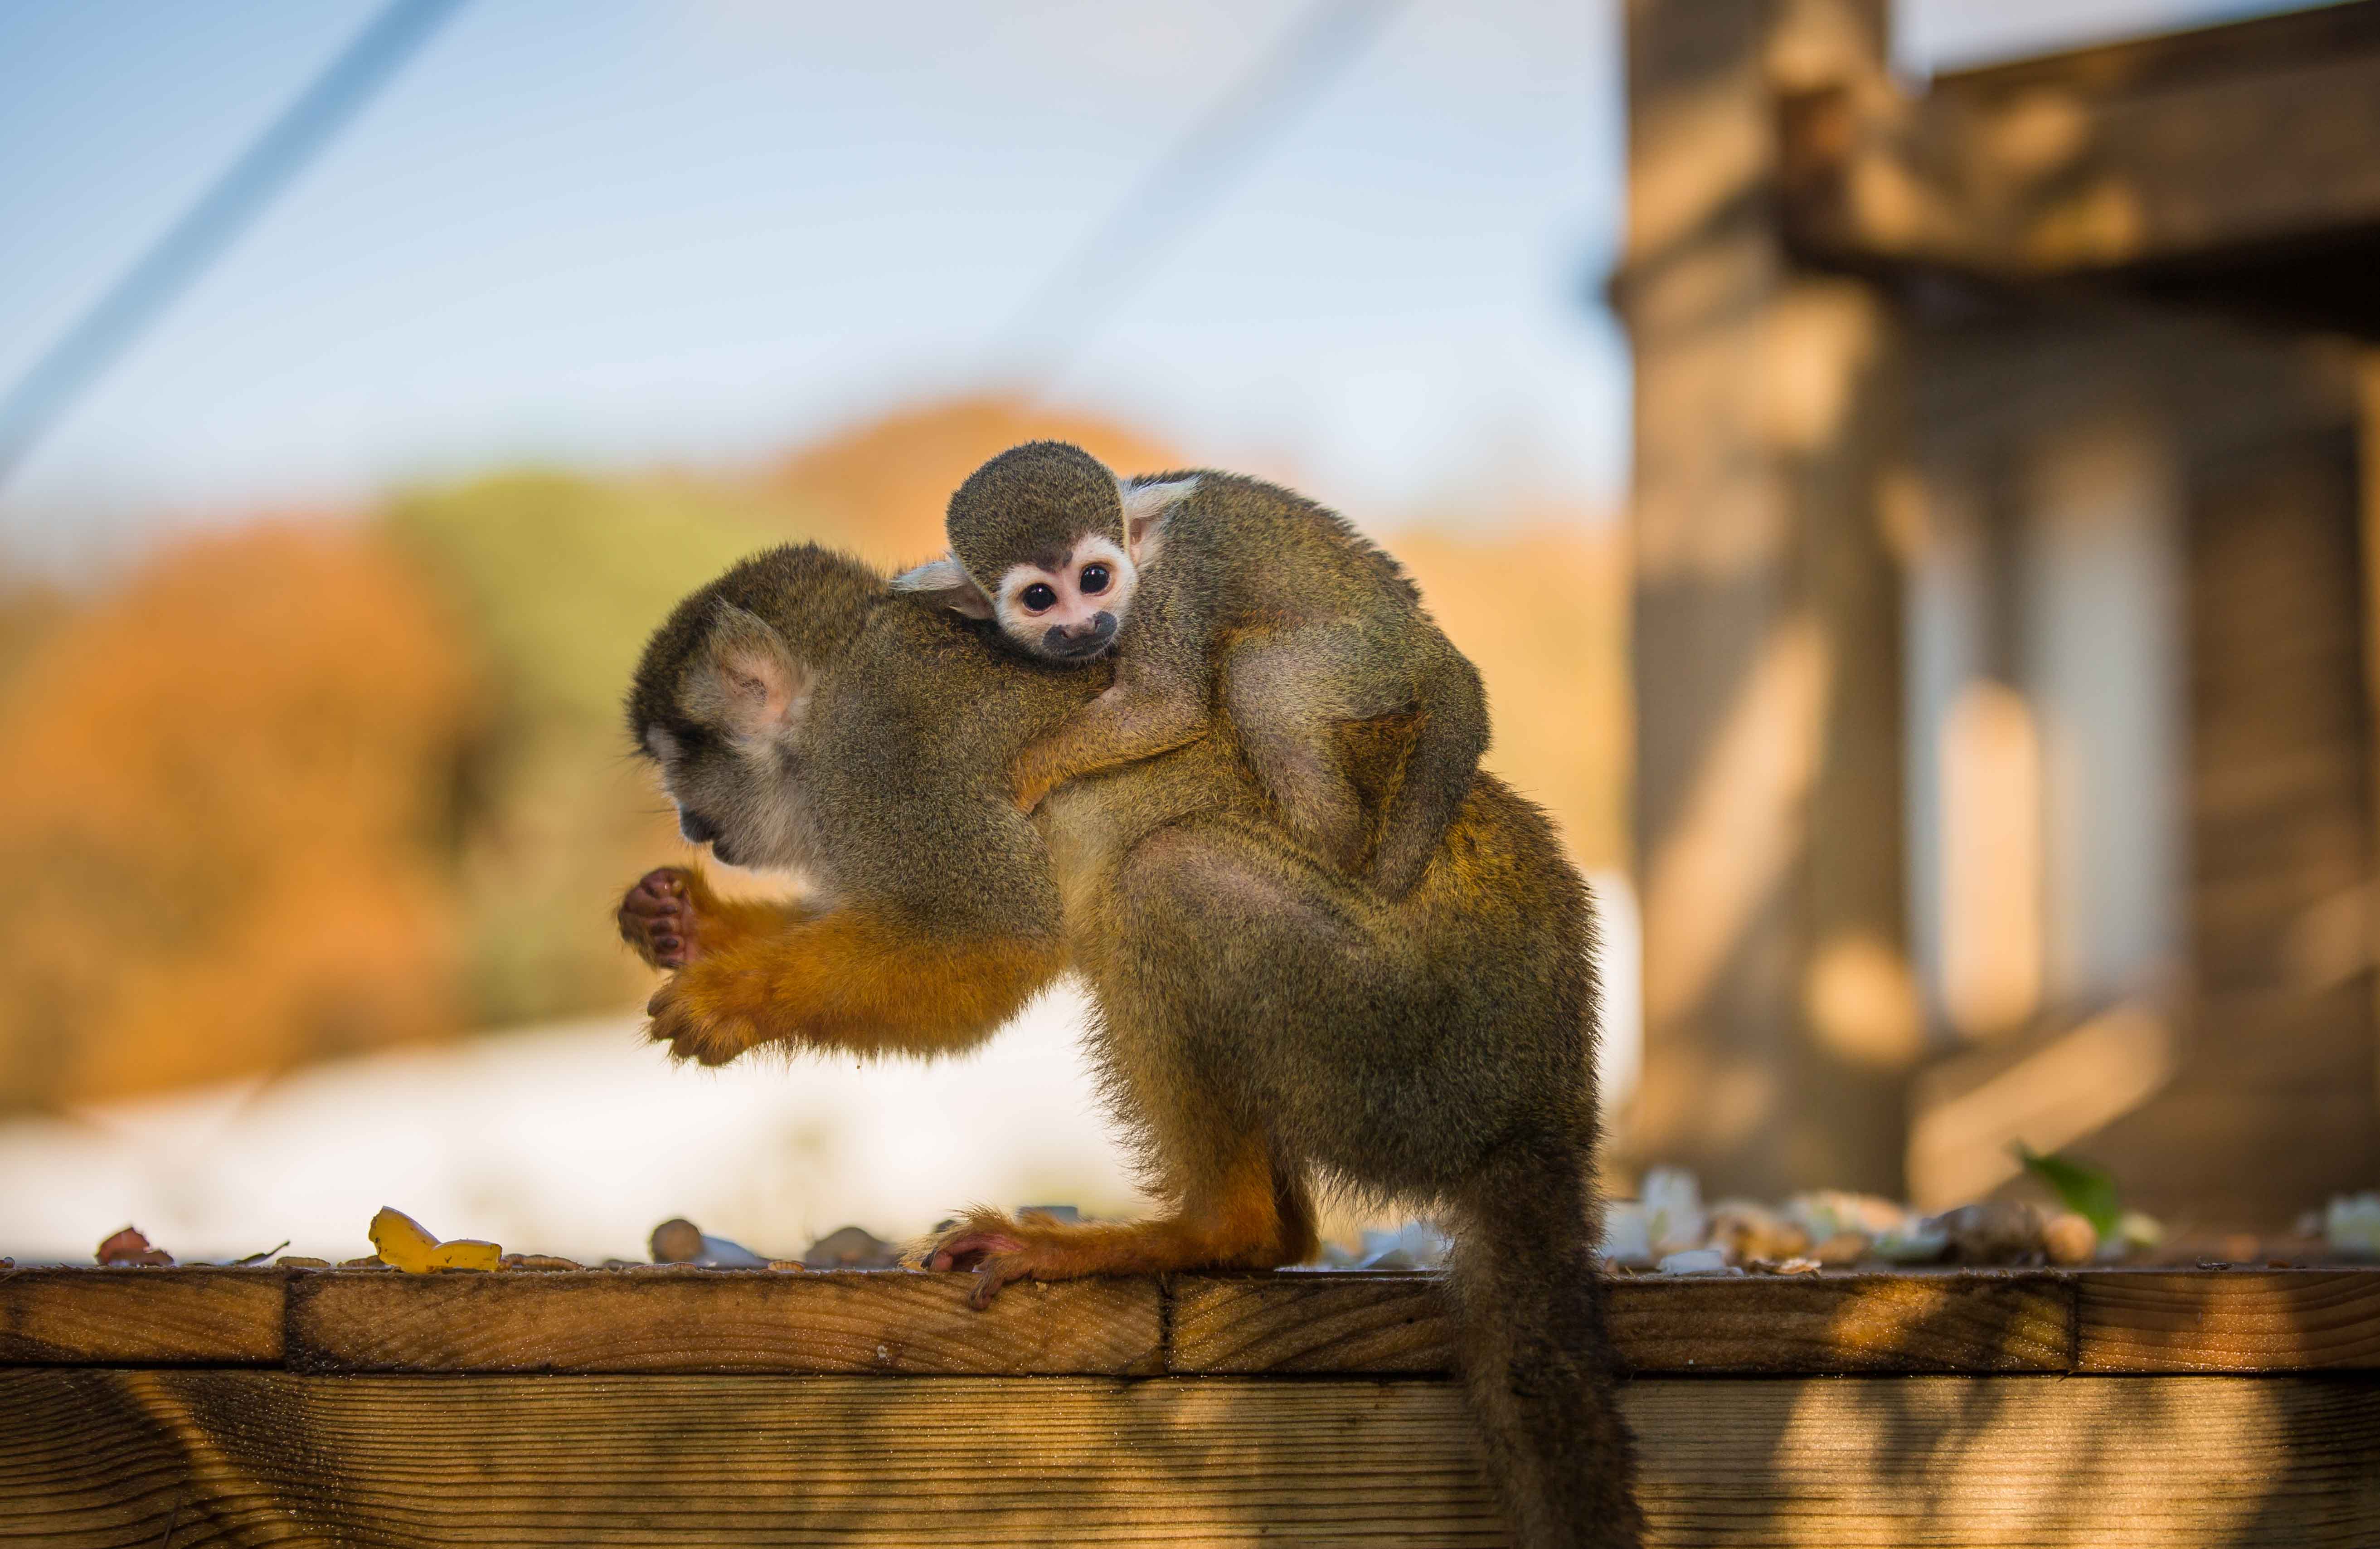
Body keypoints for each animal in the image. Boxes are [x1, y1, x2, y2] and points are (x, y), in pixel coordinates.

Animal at [623, 547, 1647, 1549]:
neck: (828, 706)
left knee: (1167, 875)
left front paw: (734, 998)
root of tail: (1545, 1106)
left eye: (680, 766)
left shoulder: (889, 765)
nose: (688, 822)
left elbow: (995, 943)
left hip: (1405, 1049)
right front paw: (697, 926)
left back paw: (1210, 1231)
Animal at [895, 440, 1485, 894]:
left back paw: (1332, 844)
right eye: (1040, 597)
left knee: (1258, 678)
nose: (1085, 627)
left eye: (1093, 579)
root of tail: (1425, 633)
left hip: (1372, 657)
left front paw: (1022, 775)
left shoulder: (1165, 592)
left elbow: (1168, 708)